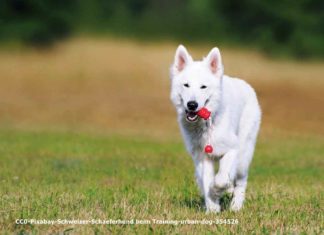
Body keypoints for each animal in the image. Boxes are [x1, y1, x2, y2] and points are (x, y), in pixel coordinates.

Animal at [170, 45, 260, 212]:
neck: (207, 123)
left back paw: (236, 206)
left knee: (241, 181)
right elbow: (207, 181)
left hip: (244, 155)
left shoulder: (232, 149)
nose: (192, 105)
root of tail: (246, 85)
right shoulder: (203, 157)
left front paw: (217, 191)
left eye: (203, 87)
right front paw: (212, 208)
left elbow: (221, 179)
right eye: (186, 85)